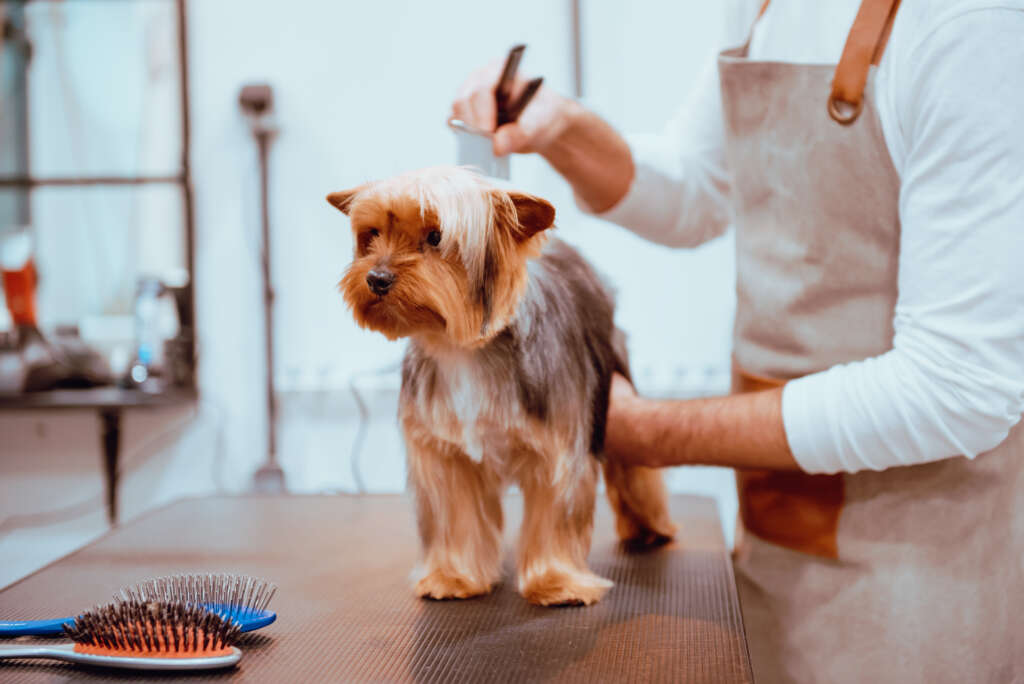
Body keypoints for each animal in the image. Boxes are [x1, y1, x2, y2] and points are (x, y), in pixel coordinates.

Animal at [327, 167, 675, 606]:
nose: (376, 278)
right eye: (370, 235)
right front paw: (454, 577)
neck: (458, 349)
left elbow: (555, 513)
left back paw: (650, 529)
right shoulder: (445, 453)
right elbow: (455, 514)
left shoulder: (558, 447)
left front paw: (556, 581)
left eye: (436, 237)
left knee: (635, 472)